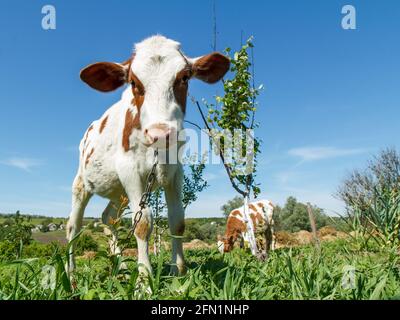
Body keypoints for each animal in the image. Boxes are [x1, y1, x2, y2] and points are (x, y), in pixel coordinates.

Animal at [65, 33, 228, 276]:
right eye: (133, 82)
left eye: (184, 77)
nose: (160, 133)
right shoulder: (129, 170)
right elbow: (142, 223)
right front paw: (144, 277)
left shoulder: (175, 172)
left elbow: (177, 219)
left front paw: (178, 270)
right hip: (83, 182)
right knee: (73, 226)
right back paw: (71, 273)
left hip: (118, 193)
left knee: (109, 219)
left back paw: (121, 266)